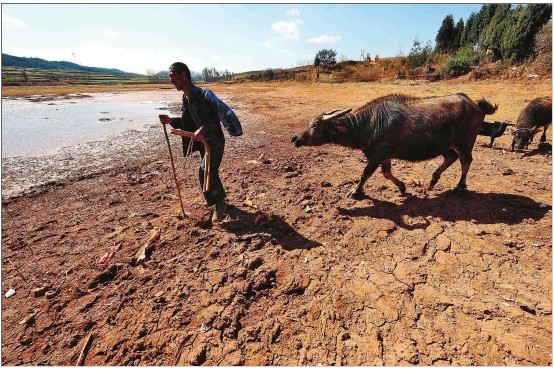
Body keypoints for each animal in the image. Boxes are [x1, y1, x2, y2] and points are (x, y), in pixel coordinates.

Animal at [294, 93, 498, 197]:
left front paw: (355, 190)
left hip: (465, 142)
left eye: (315, 125)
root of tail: (475, 105)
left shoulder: (378, 155)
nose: (295, 138)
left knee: (466, 161)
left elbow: (365, 173)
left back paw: (460, 186)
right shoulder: (385, 156)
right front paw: (402, 187)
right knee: (452, 157)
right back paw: (432, 181)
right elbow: (386, 173)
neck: (370, 123)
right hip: (446, 145)